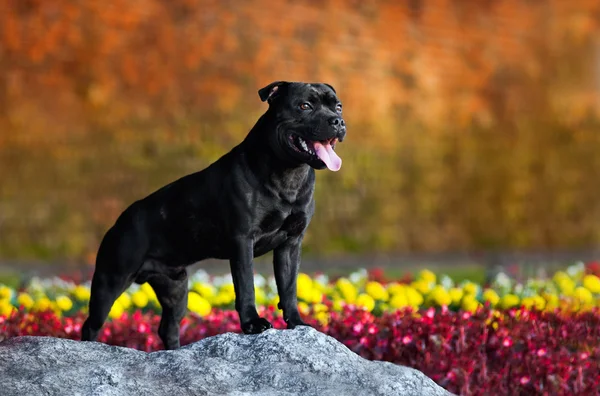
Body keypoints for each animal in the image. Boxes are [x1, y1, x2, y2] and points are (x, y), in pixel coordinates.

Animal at [82, 81, 350, 350]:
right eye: (304, 106)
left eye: (337, 106)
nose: (338, 120)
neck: (289, 173)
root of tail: (121, 219)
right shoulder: (243, 242)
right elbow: (246, 286)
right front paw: (252, 324)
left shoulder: (291, 244)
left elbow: (288, 287)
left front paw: (296, 322)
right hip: (111, 279)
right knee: (92, 323)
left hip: (176, 288)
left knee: (168, 326)